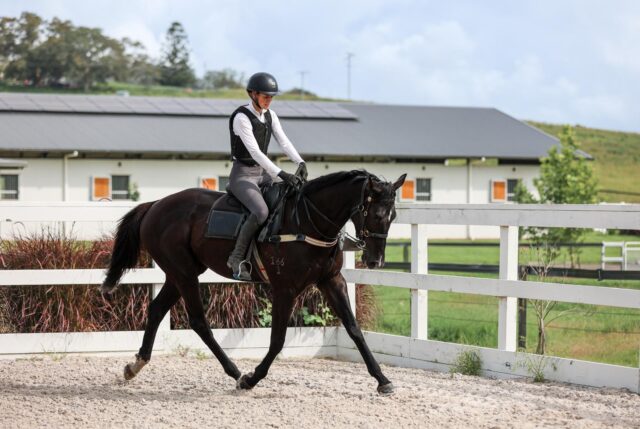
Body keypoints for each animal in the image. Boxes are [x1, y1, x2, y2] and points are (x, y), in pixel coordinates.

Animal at [101, 169, 406, 394]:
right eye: (377, 214)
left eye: (393, 216)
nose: (375, 261)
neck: (306, 223)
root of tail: (156, 205)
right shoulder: (285, 290)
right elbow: (278, 340)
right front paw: (252, 378)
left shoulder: (332, 281)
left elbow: (354, 329)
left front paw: (382, 379)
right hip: (184, 275)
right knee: (199, 322)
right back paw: (236, 372)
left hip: (179, 275)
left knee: (156, 310)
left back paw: (135, 365)